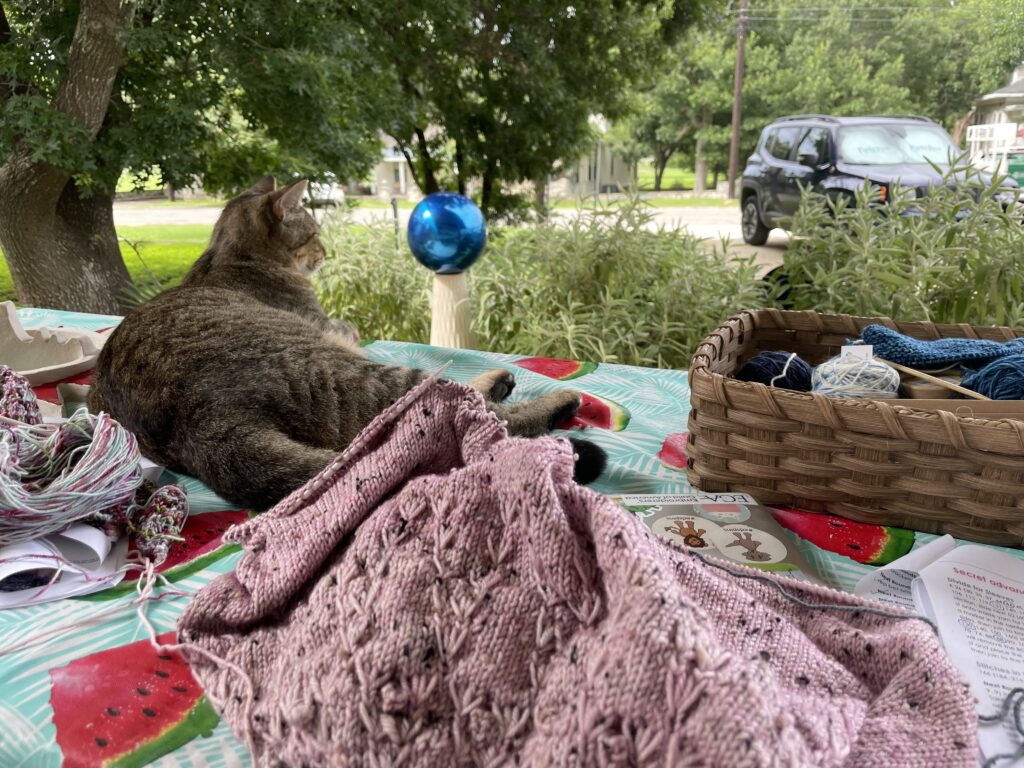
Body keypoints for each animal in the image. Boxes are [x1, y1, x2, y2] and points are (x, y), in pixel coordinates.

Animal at [92, 176, 602, 512]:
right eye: (315, 233)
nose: (326, 252)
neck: (230, 255)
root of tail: (201, 420)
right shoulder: (333, 331)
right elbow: (350, 329)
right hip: (366, 376)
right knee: (476, 417)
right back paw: (552, 401)